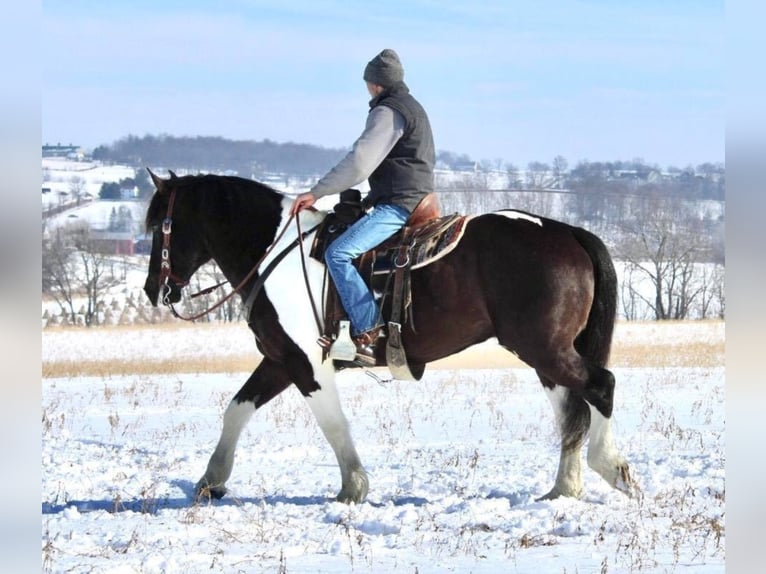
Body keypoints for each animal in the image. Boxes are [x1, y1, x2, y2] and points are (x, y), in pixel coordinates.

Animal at [144, 170, 636, 504]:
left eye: (159, 226)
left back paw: (609, 467)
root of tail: (567, 231)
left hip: (544, 349)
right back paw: (564, 488)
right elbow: (237, 409)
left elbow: (332, 423)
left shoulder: (305, 363)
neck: (274, 254)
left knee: (601, 386)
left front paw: (353, 486)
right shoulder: (281, 360)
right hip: (546, 354)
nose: (154, 289)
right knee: (571, 408)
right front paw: (211, 481)